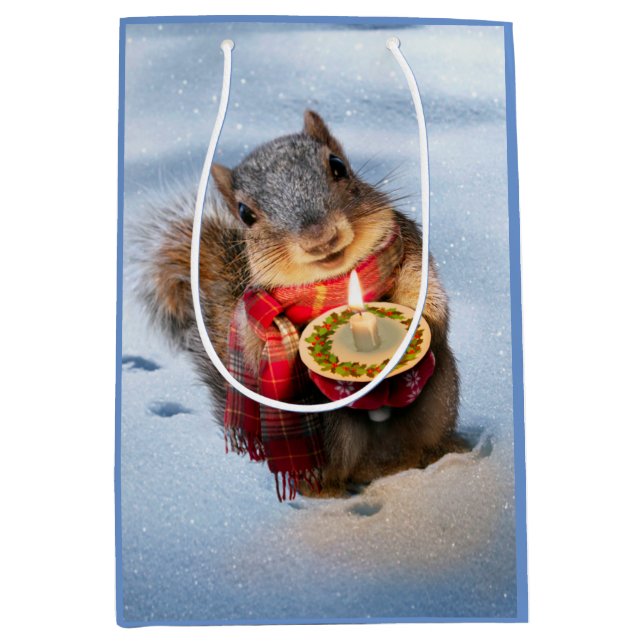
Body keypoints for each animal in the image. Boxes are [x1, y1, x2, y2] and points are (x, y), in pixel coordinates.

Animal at [138, 110, 464, 496]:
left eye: (338, 166)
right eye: (245, 213)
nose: (319, 238)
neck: (338, 281)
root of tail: (381, 460)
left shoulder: (410, 248)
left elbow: (426, 297)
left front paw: (418, 328)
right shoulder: (254, 311)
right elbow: (259, 355)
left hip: (441, 394)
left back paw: (441, 453)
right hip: (327, 434)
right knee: (331, 472)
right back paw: (328, 489)